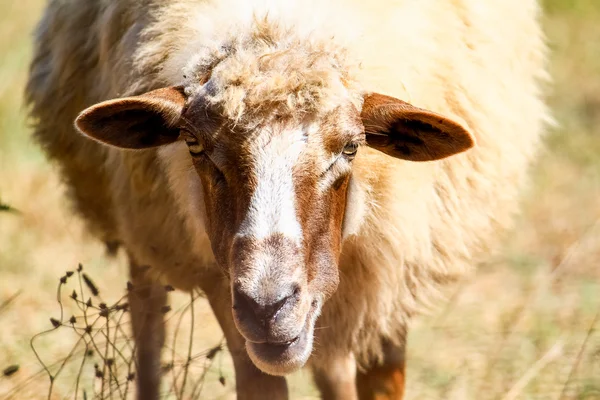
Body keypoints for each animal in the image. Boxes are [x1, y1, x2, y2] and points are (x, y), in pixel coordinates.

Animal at [25, 0, 552, 398]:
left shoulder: (391, 277)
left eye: (351, 147)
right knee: (147, 319)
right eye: (193, 144)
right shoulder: (227, 288)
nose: (266, 307)